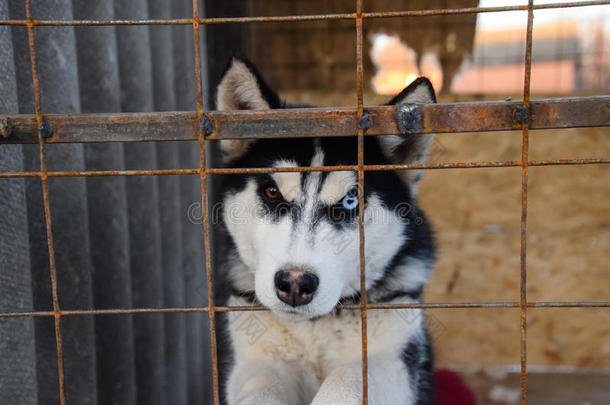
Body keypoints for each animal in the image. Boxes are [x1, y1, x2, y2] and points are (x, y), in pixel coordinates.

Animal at [216, 57, 434, 404]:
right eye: (272, 192)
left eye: (349, 200)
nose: (294, 283)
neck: (315, 326)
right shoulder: (253, 355)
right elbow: (261, 384)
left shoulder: (396, 355)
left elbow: (350, 376)